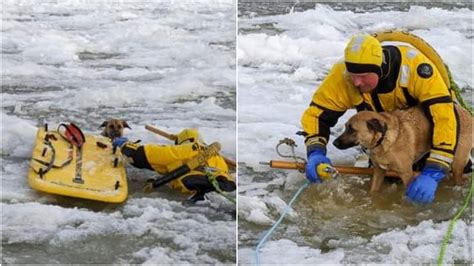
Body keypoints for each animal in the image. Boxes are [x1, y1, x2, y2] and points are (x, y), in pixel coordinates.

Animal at [332, 105, 472, 192]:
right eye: (346, 127)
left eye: (352, 129)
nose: (334, 143)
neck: (384, 140)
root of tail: (466, 112)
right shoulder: (379, 171)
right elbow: (374, 191)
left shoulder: (407, 174)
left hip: (457, 163)